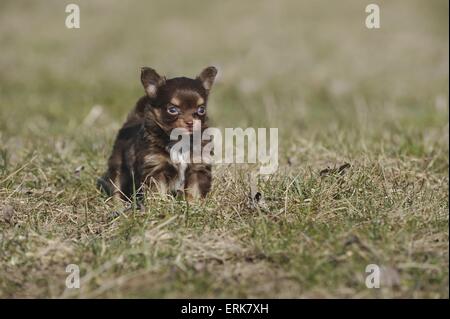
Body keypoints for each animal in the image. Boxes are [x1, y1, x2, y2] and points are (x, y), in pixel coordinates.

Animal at [99, 65, 218, 202]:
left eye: (201, 109)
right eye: (172, 110)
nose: (190, 122)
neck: (179, 140)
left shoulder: (198, 166)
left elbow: (195, 190)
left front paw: (194, 204)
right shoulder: (155, 168)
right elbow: (158, 191)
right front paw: (160, 205)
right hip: (119, 166)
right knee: (117, 186)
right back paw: (117, 204)